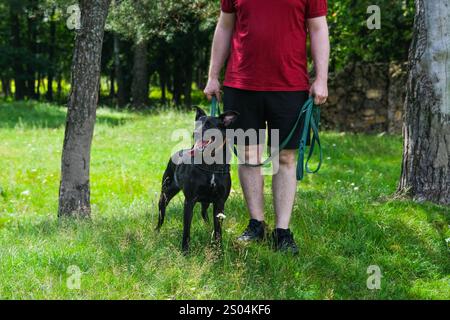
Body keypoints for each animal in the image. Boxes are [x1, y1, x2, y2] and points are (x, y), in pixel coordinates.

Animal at [156, 107, 237, 252]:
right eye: (196, 124)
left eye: (209, 125)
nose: (195, 133)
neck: (211, 164)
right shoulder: (189, 201)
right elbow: (186, 229)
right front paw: (185, 251)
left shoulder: (220, 202)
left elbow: (218, 231)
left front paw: (218, 251)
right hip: (165, 195)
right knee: (161, 216)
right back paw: (156, 233)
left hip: (206, 201)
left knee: (204, 214)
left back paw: (207, 228)